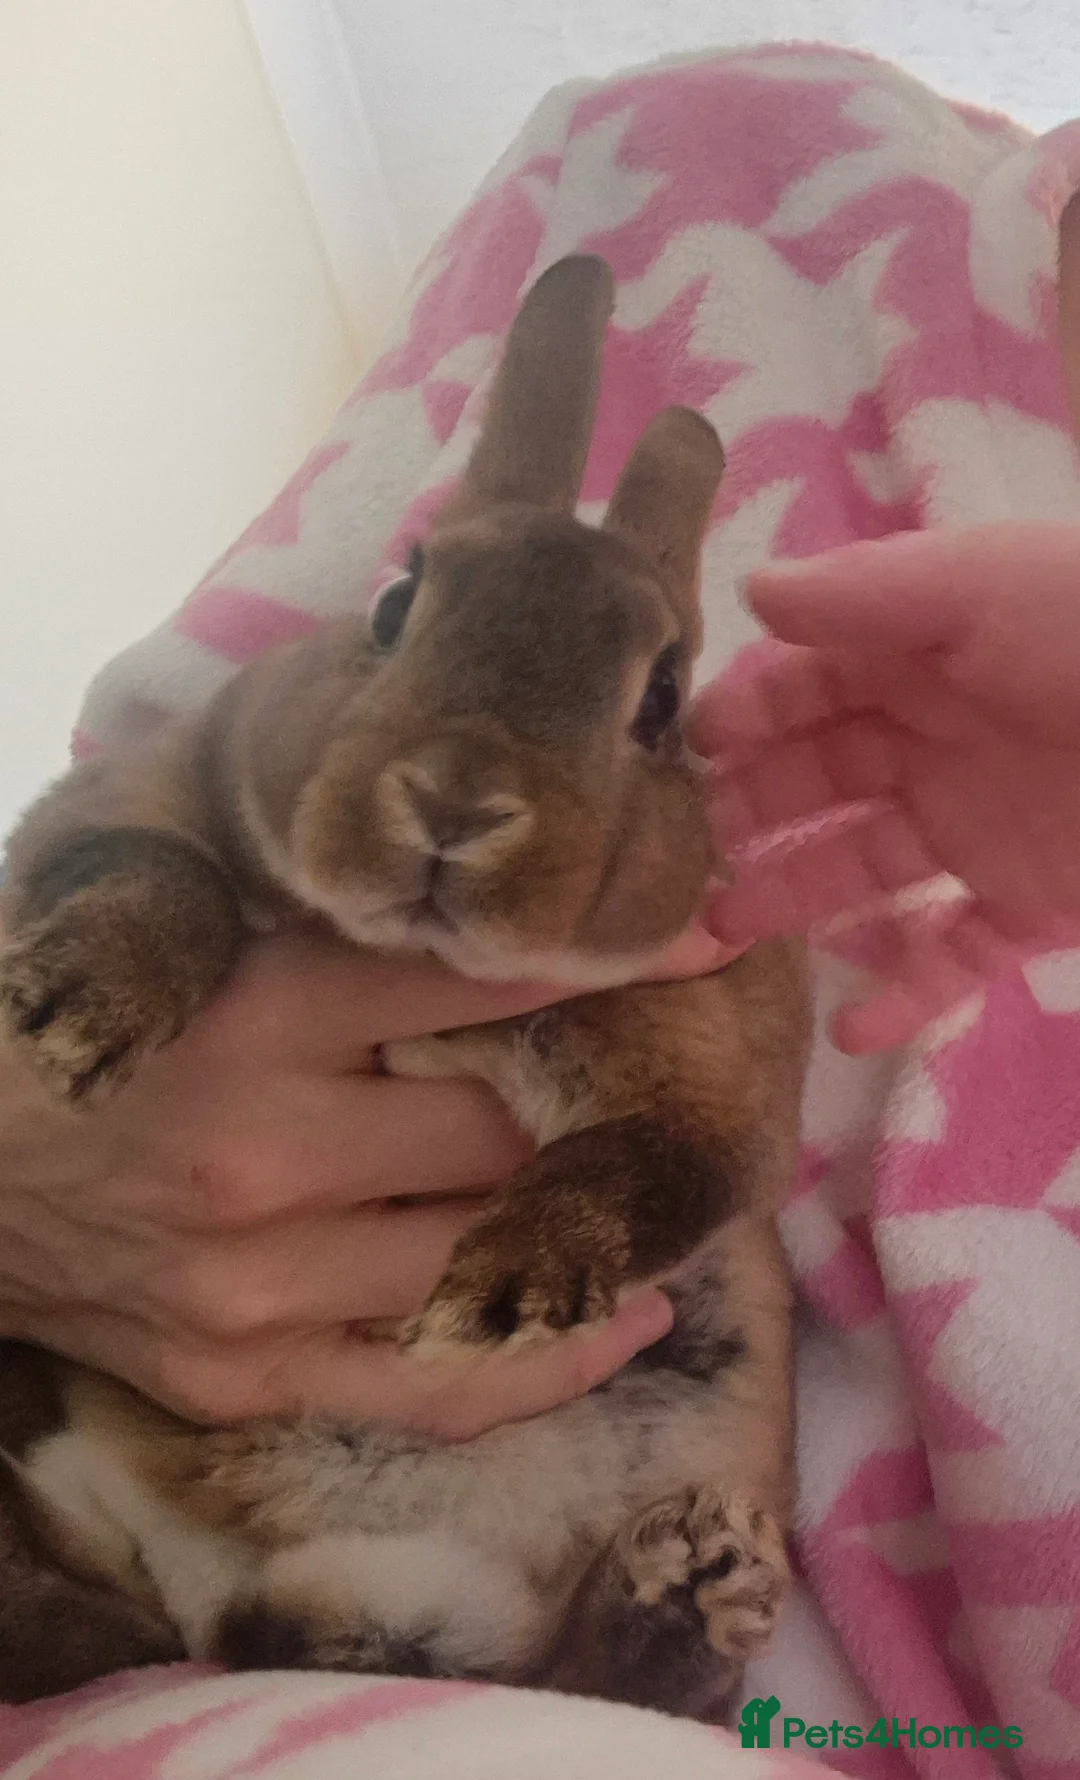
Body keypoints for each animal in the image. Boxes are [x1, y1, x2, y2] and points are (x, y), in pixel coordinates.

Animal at [0, 255, 811, 1719]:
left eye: (662, 697)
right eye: (397, 604)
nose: (452, 803)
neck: (427, 968)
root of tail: (243, 1592)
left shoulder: (708, 1055)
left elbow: (662, 1157)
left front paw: (505, 1289)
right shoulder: (143, 793)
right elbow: (150, 866)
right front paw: (79, 1016)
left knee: (603, 1687)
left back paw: (685, 1583)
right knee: (74, 1617)